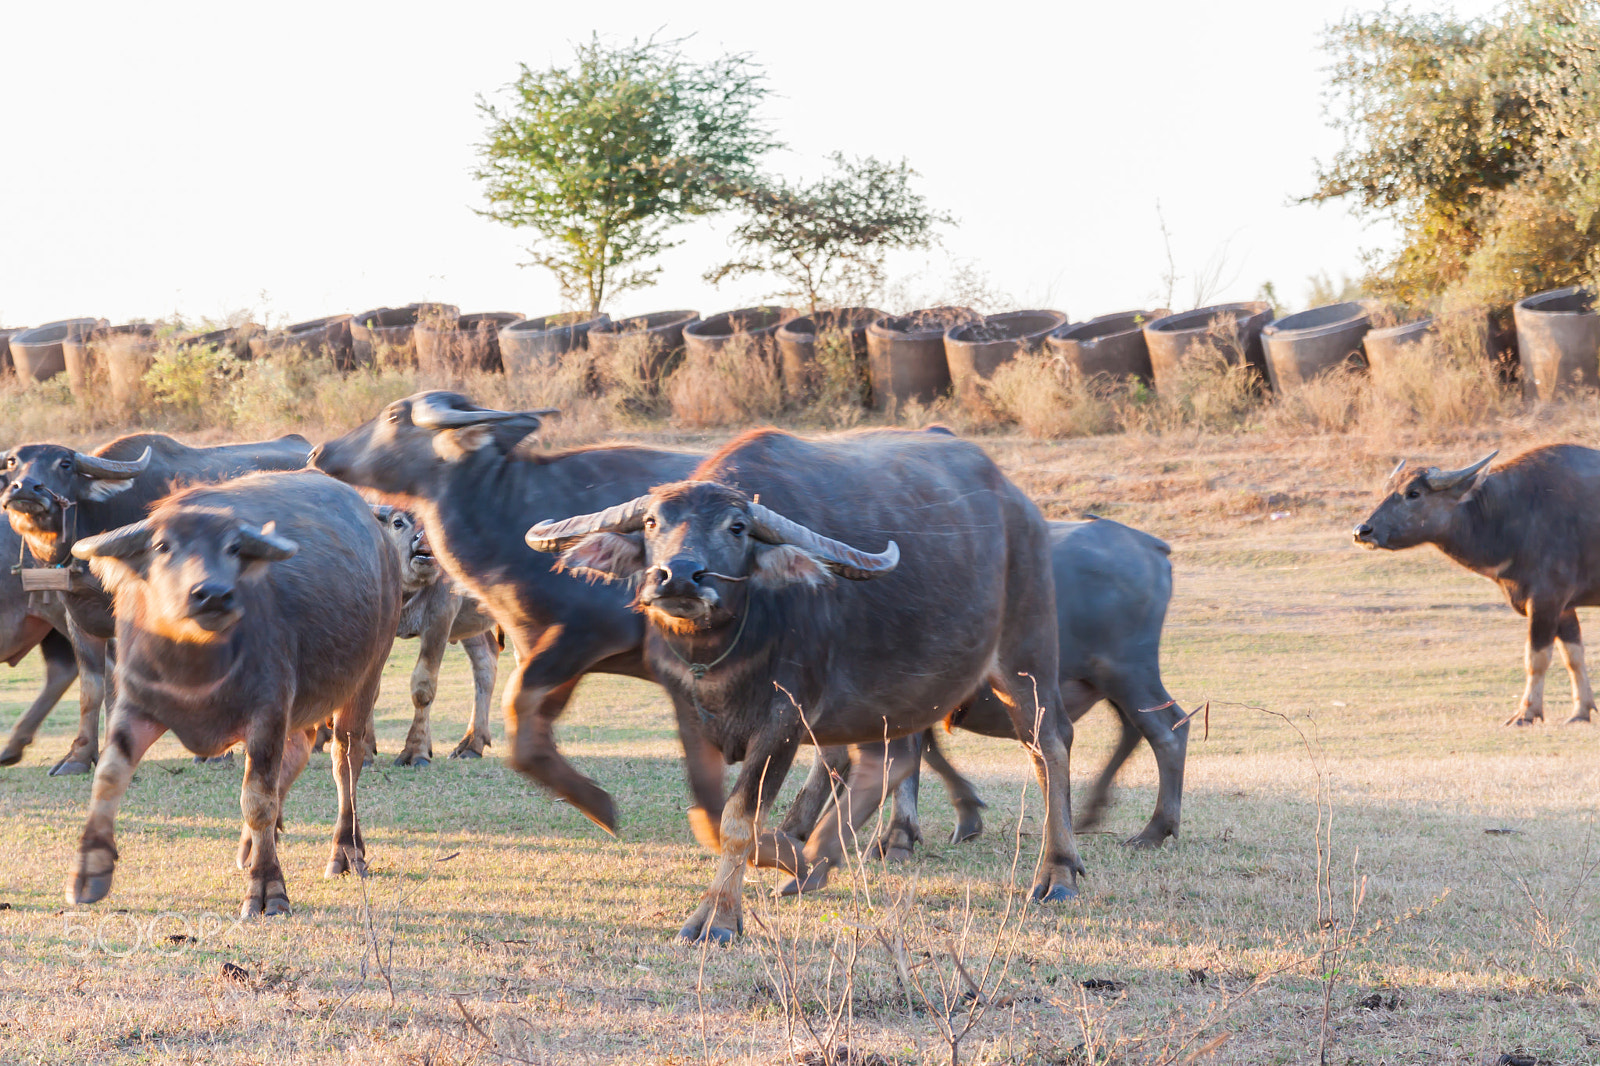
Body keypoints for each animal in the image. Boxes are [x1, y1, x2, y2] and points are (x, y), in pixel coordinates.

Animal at [1, 432, 311, 772]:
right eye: (13, 462)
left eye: (65, 463)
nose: (26, 488)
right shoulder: (76, 617)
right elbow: (91, 689)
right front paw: (78, 757)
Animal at [68, 471, 400, 917]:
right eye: (162, 546)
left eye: (234, 547)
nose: (212, 593)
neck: (197, 666)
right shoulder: (134, 702)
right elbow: (107, 776)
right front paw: (90, 869)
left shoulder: (268, 711)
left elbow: (258, 800)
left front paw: (267, 889)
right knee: (299, 749)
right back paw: (251, 846)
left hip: (365, 679)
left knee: (345, 759)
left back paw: (345, 851)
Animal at [373, 505, 499, 766]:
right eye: (398, 523)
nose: (425, 539)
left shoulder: (440, 619)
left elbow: (423, 687)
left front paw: (415, 751)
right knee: (486, 660)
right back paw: (472, 743)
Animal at [528, 426, 1082, 942]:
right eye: (651, 522)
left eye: (737, 527)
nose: (679, 576)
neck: (731, 647)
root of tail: (1022, 509)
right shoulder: (690, 711)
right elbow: (710, 817)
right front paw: (788, 854)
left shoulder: (785, 716)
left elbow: (738, 819)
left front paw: (719, 917)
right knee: (886, 758)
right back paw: (816, 857)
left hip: (1024, 655)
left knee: (1048, 744)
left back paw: (1057, 872)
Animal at [1354, 446, 1600, 726]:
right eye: (1387, 489)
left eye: (1413, 493)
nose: (1362, 530)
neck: (1513, 514)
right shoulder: (1563, 607)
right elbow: (1574, 656)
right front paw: (1581, 711)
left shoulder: (1546, 600)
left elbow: (1536, 658)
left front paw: (1525, 713)